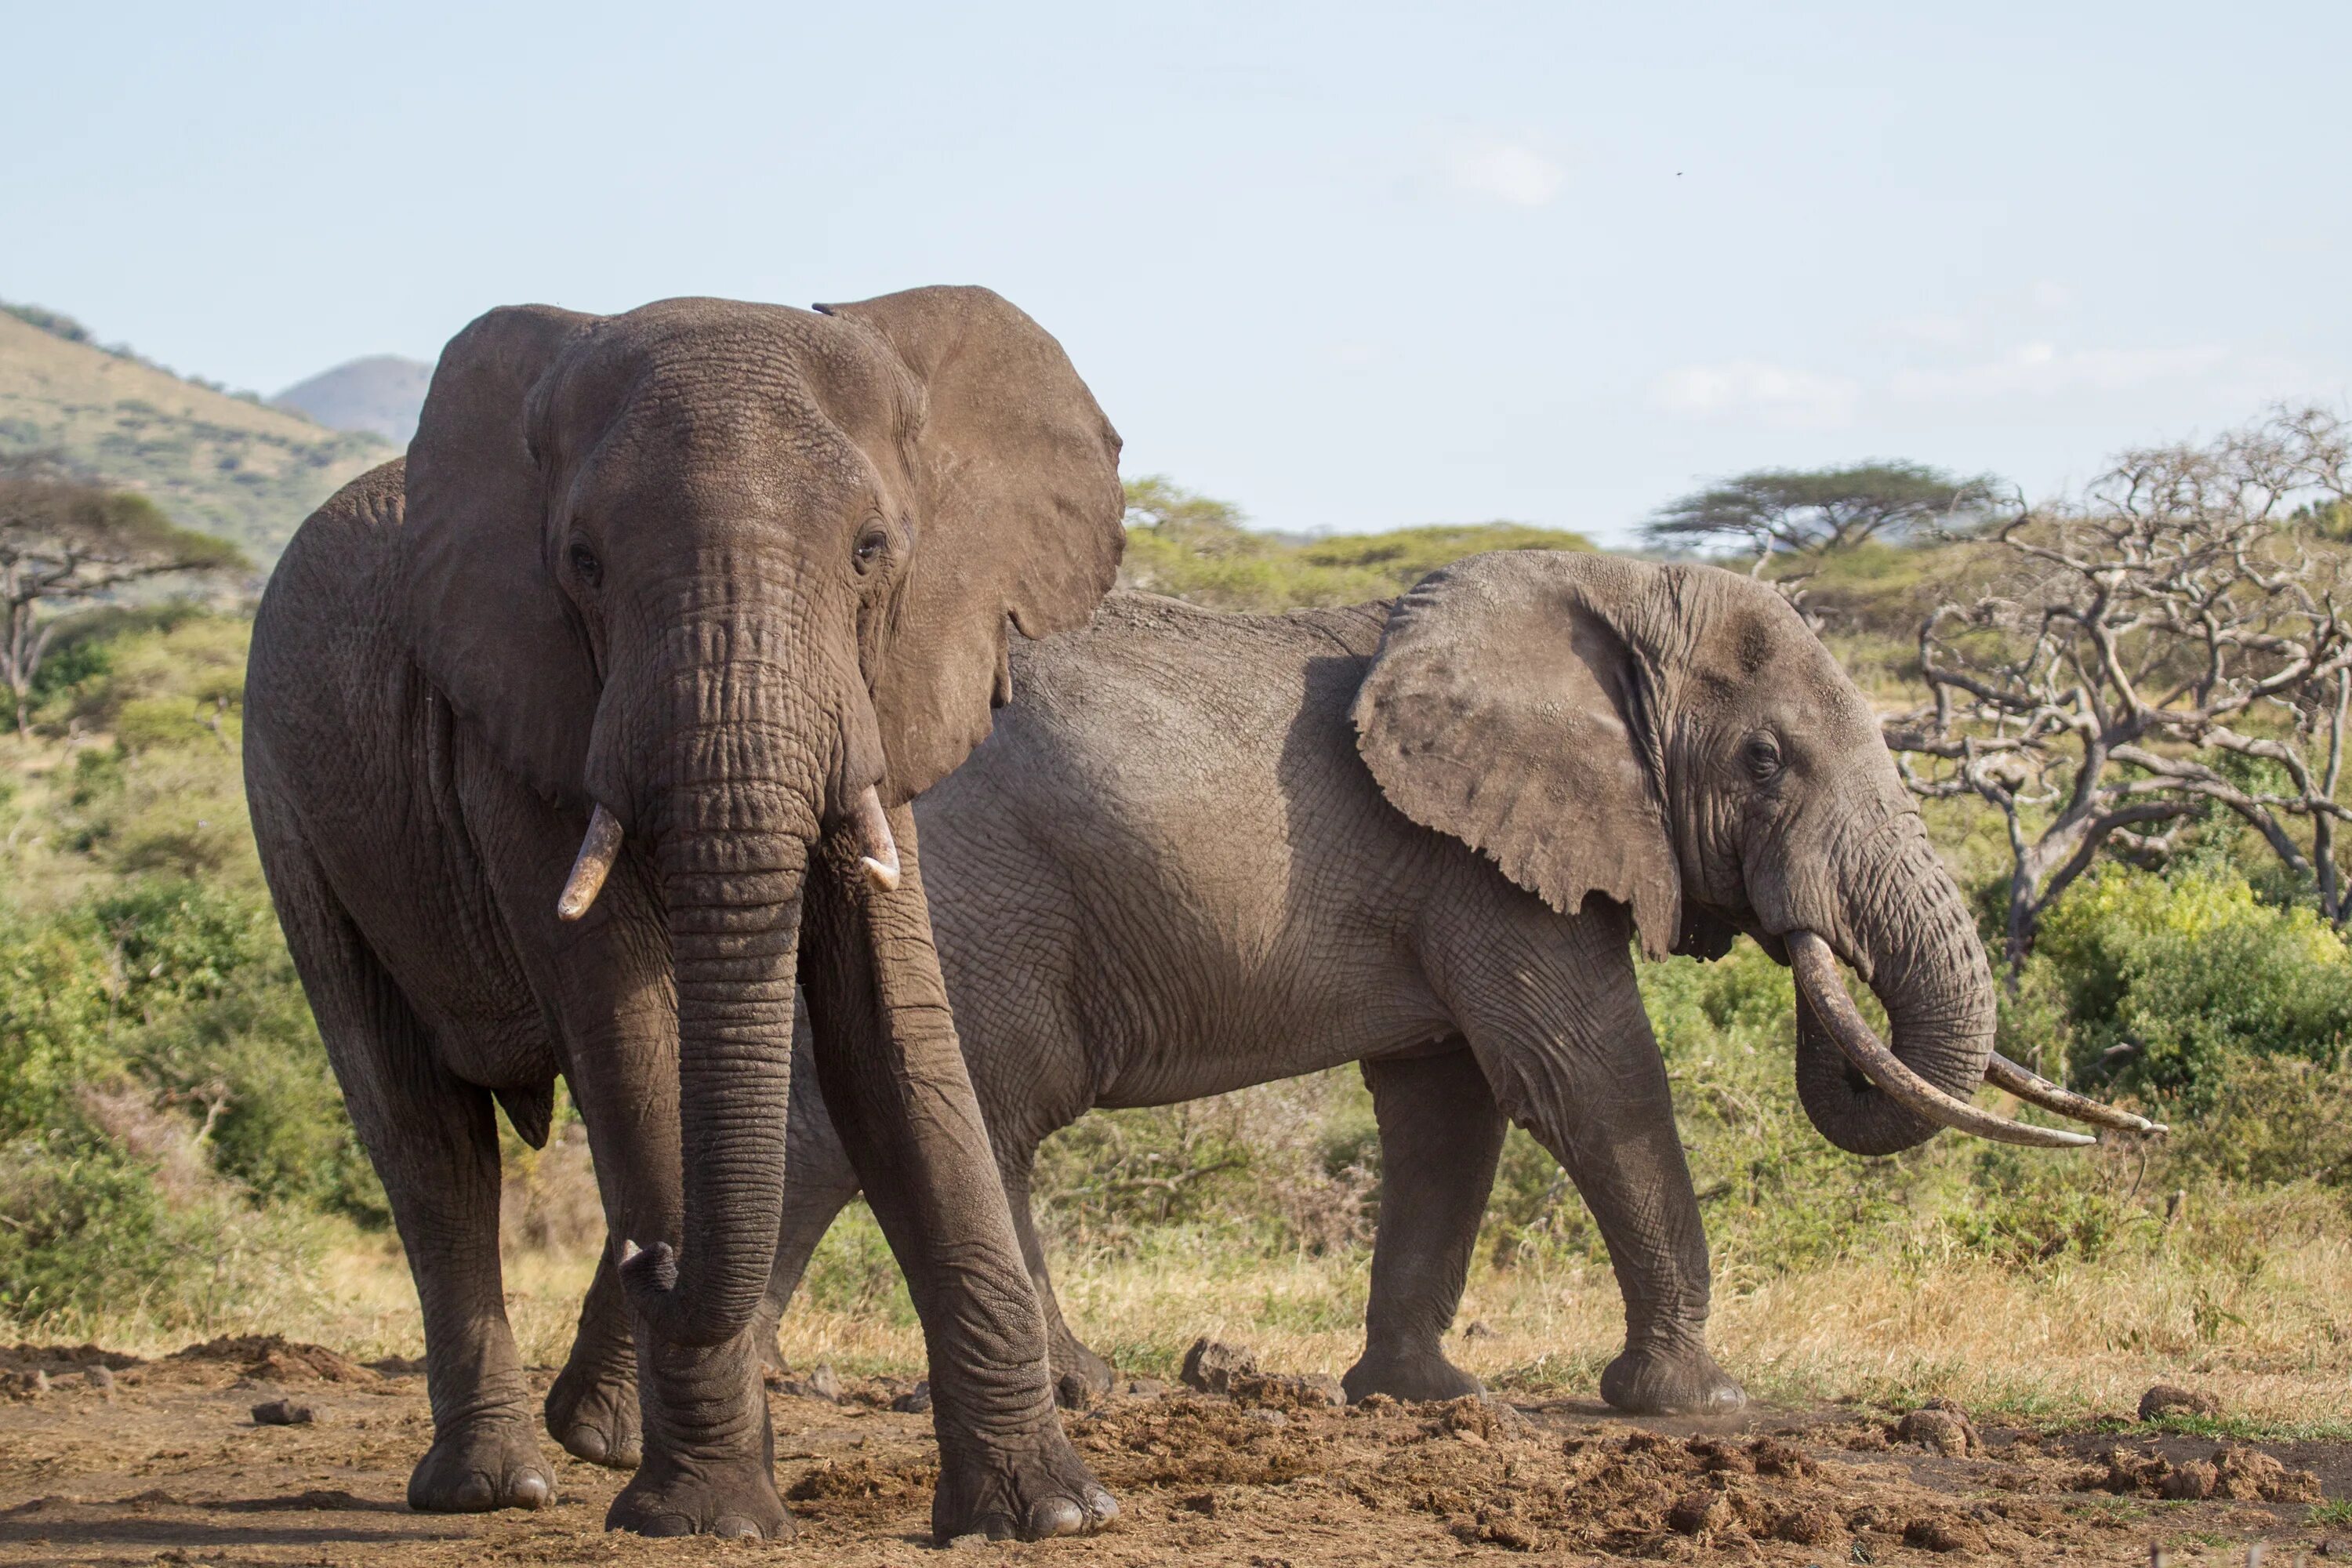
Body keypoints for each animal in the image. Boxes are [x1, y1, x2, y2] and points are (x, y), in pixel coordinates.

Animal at [241, 288, 1129, 1542]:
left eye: (872, 551)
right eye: (583, 563)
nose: (649, 1256)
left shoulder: (886, 698)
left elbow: (896, 1042)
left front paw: (1050, 1515)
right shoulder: (518, 717)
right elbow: (630, 1034)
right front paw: (708, 1521)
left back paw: (597, 1439)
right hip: (289, 803)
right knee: (423, 1135)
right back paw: (499, 1483)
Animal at [555, 550, 2154, 1457]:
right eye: (1767, 763)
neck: (1603, 600)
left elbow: (1452, 1108)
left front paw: (1421, 1402)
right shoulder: (1487, 870)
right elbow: (1585, 1077)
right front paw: (1697, 1404)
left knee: (865, 1123)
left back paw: (727, 1391)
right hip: (974, 896)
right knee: (980, 1111)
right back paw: (1059, 1396)